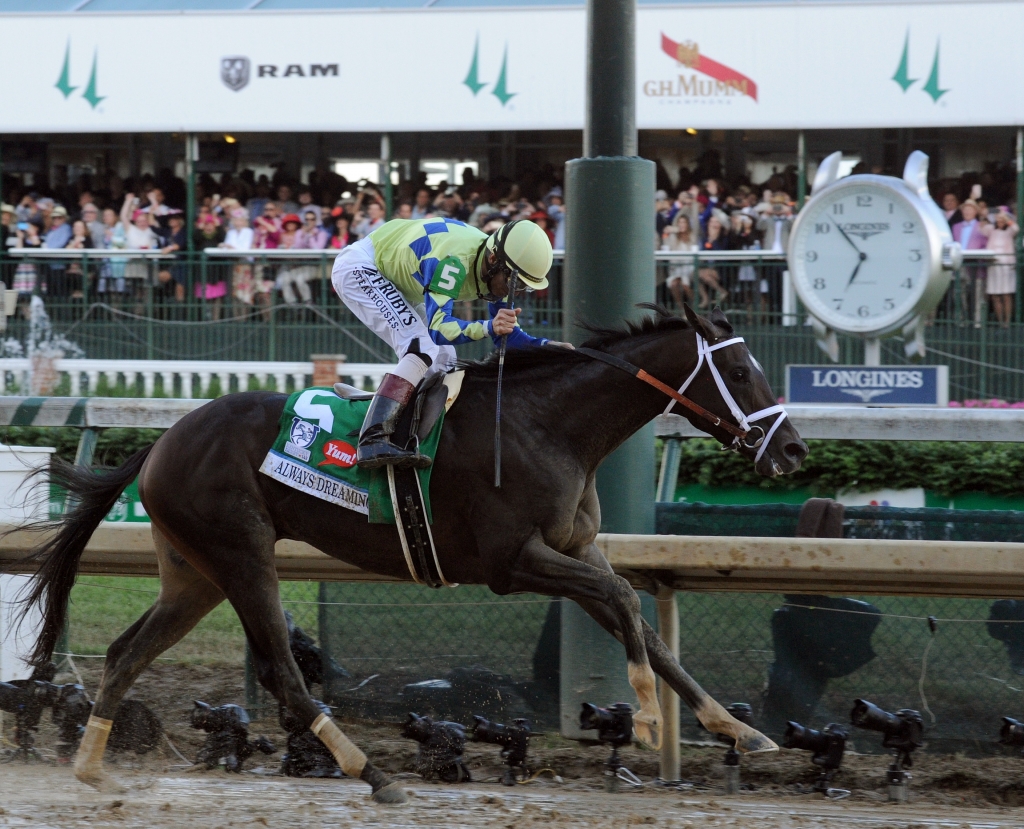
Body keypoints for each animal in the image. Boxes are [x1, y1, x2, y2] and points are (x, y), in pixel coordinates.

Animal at [12, 304, 802, 802]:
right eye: (742, 373)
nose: (792, 449)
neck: (548, 424)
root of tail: (160, 442)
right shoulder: (511, 562)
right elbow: (623, 603)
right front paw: (642, 719)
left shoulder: (576, 549)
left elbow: (645, 626)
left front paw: (739, 729)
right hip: (241, 553)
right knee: (284, 674)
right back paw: (373, 773)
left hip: (194, 573)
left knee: (127, 652)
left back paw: (92, 768)